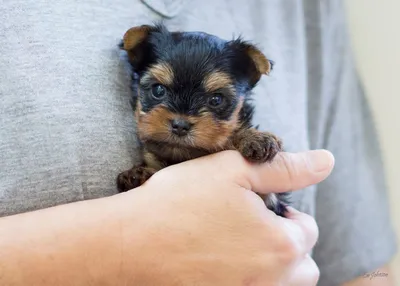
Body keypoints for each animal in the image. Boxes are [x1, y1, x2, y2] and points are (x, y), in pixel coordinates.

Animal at [117, 24, 290, 217]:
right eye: (158, 90)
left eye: (216, 99)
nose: (180, 125)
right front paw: (135, 174)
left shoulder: (272, 201)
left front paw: (255, 138)